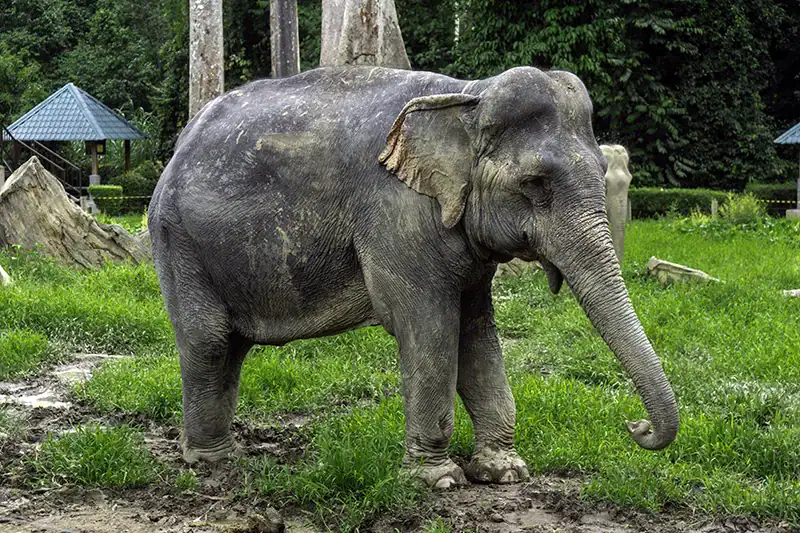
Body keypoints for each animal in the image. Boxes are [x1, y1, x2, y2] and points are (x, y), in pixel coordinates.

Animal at [149, 66, 679, 489]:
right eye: (534, 184)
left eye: (602, 169)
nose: (634, 426)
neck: (469, 96)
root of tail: (179, 147)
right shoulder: (395, 216)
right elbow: (428, 327)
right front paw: (438, 481)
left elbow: (476, 334)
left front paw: (505, 473)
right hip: (177, 240)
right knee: (210, 340)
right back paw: (211, 464)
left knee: (231, 344)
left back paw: (218, 456)